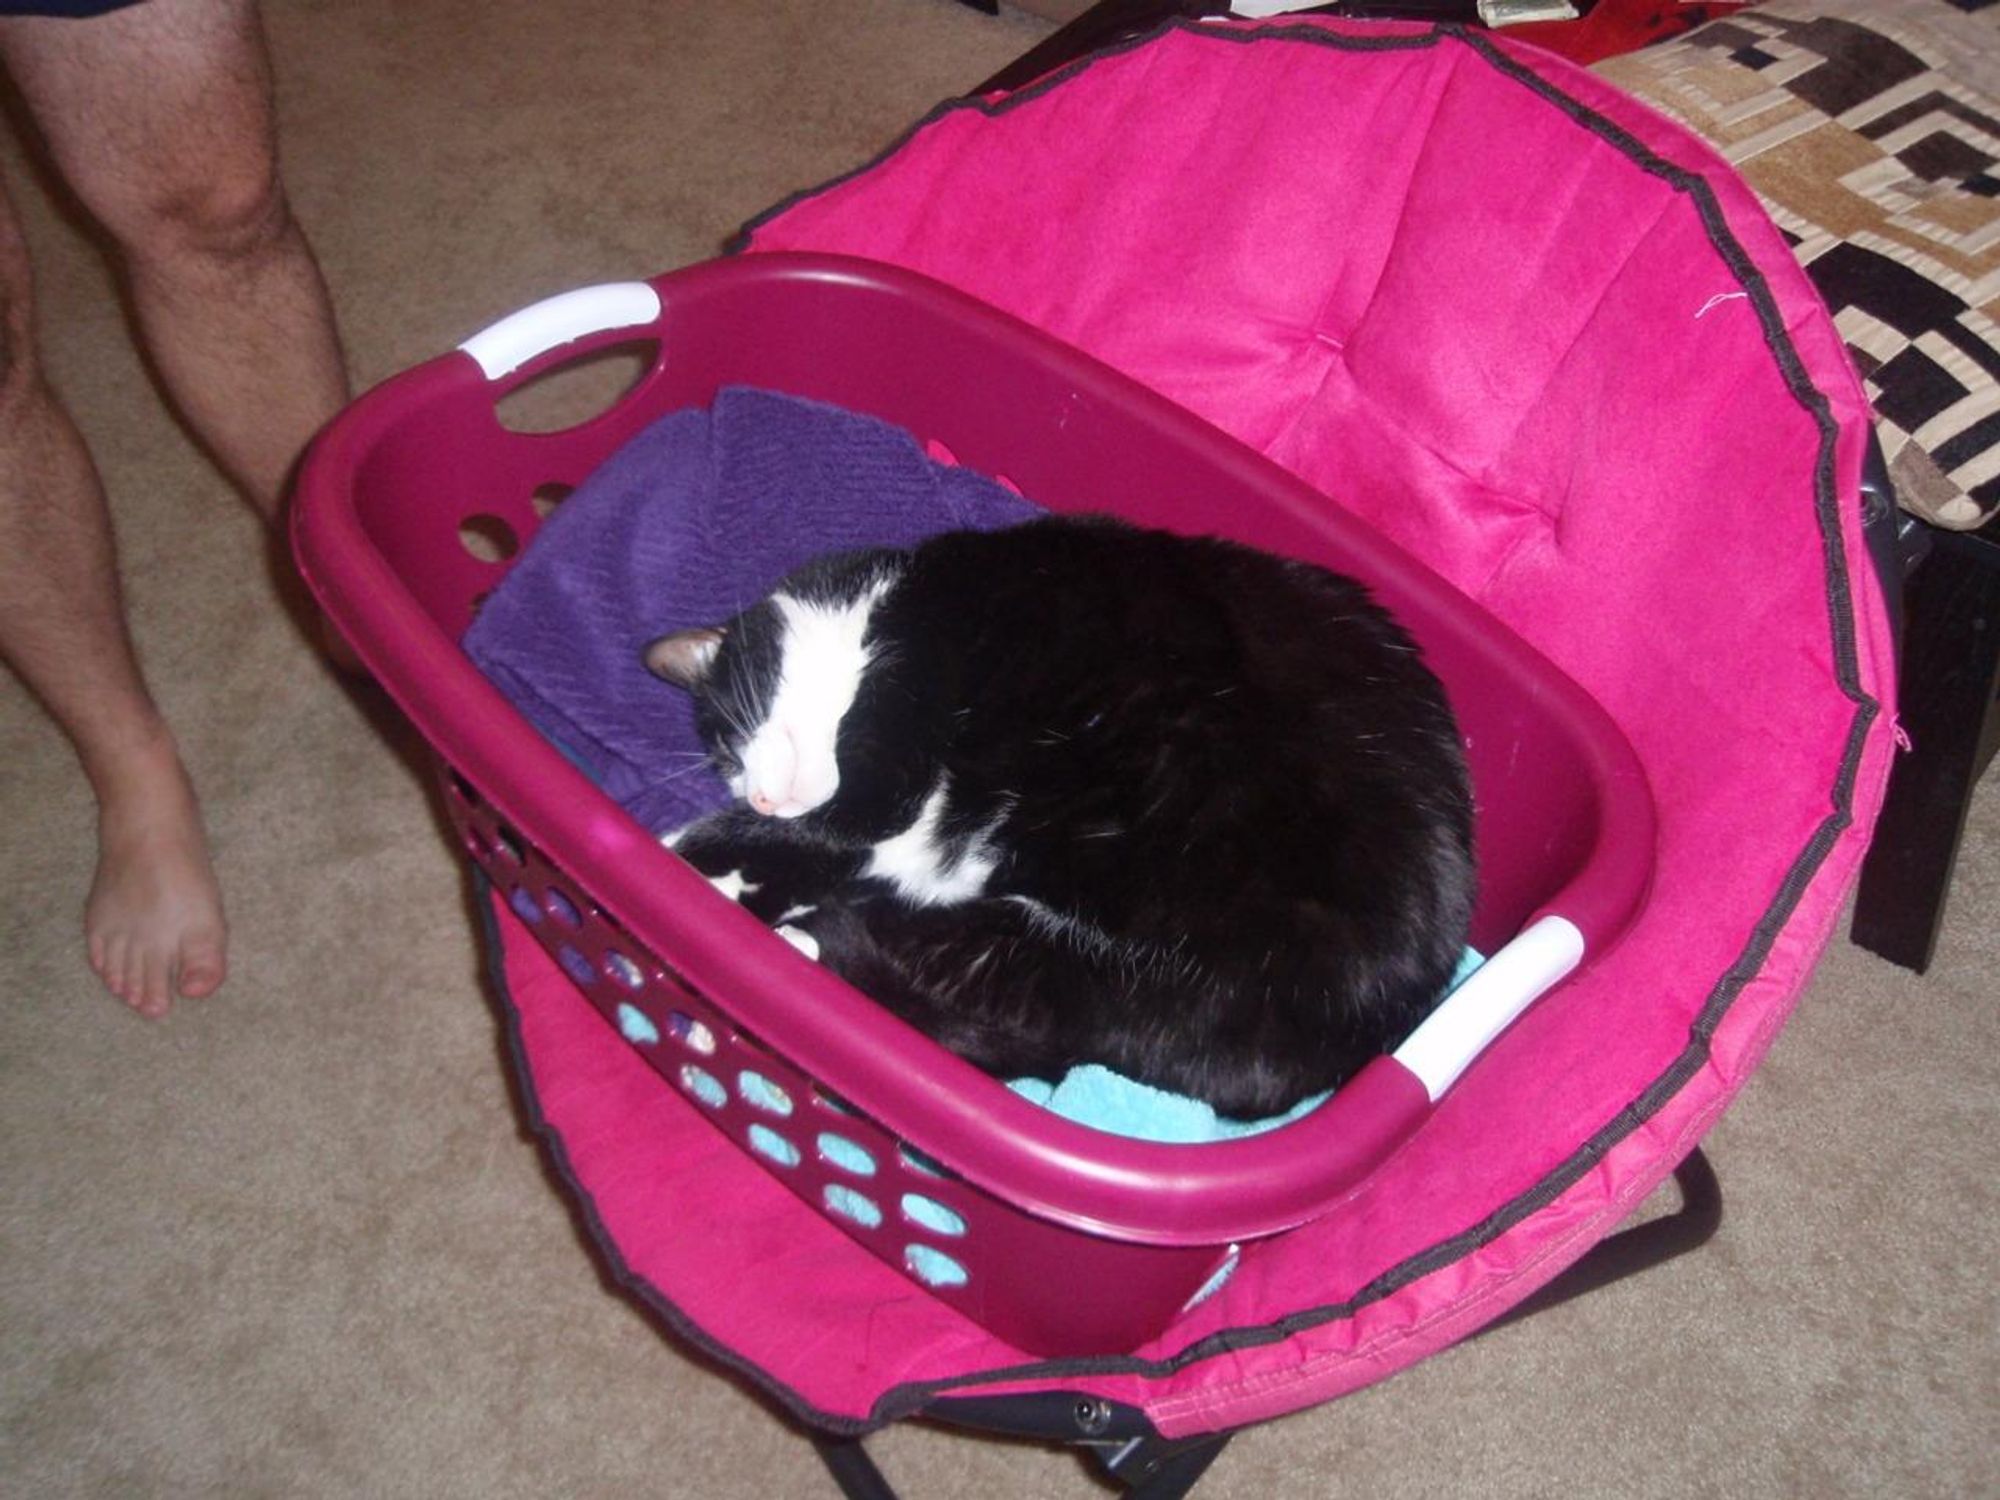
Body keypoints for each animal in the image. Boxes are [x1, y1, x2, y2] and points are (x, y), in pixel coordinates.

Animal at [648, 516, 1480, 1120]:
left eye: (732, 734)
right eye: (725, 761)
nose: (756, 794)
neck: (874, 605)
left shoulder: (893, 750)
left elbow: (824, 825)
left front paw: (681, 851)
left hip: (1093, 950)